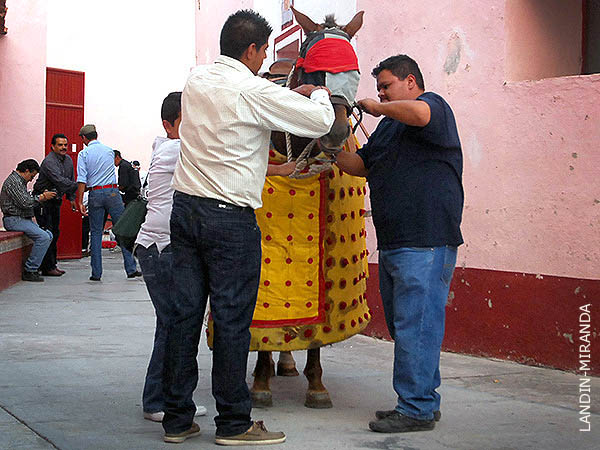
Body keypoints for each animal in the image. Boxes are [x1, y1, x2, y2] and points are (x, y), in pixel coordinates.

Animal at [248, 6, 366, 408]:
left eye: (356, 72)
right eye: (314, 71)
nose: (336, 132)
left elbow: (320, 331)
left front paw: (316, 384)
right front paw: (260, 382)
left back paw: (287, 363)